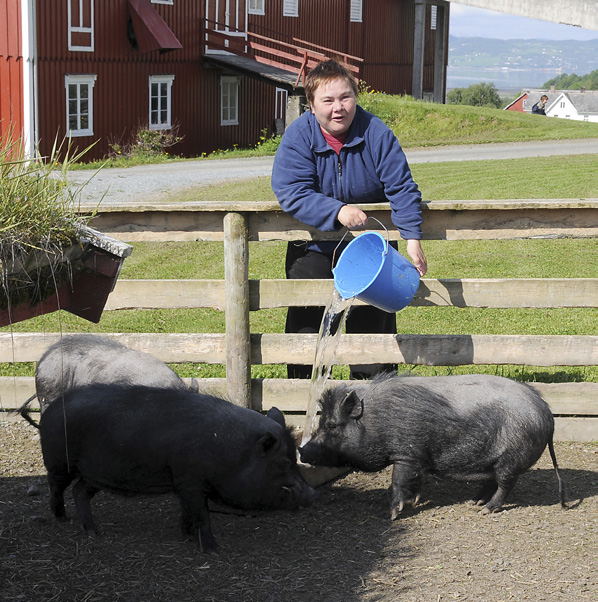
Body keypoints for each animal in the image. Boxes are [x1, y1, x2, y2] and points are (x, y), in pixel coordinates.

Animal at [36, 384, 318, 552]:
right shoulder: (192, 481)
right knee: (55, 486)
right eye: (282, 463)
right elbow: (202, 515)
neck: (231, 452)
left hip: (94, 475)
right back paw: (62, 518)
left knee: (79, 492)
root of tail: (51, 408)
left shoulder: (185, 483)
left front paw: (187, 537)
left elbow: (188, 512)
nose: (313, 493)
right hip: (59, 462)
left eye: (295, 458)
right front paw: (213, 550)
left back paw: (94, 533)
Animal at [302, 370, 568, 516]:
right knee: (493, 480)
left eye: (332, 425)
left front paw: (392, 514)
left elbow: (398, 481)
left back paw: (484, 510)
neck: (377, 419)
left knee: (505, 484)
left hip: (511, 459)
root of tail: (546, 412)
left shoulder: (406, 454)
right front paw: (415, 501)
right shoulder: (417, 458)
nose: (303, 450)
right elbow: (415, 480)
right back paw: (474, 502)